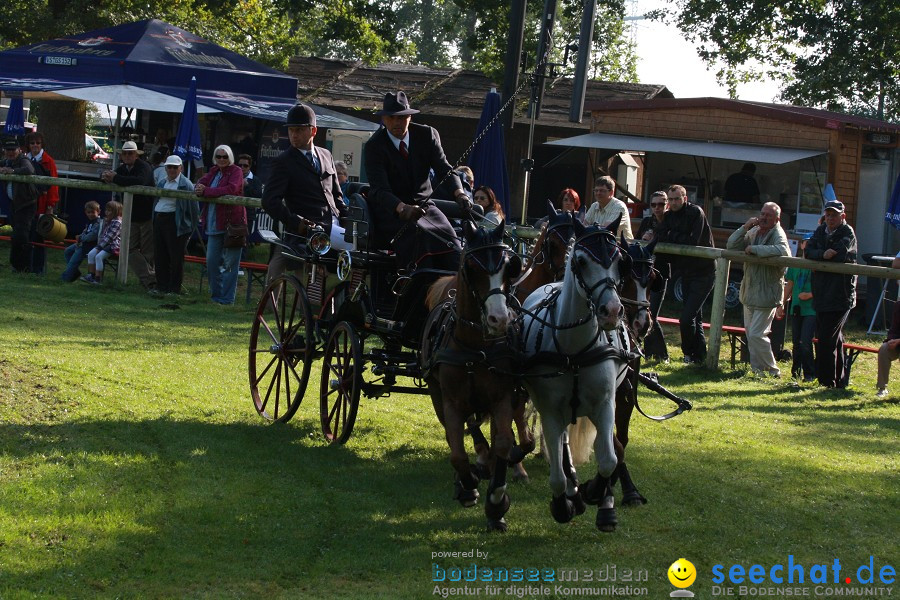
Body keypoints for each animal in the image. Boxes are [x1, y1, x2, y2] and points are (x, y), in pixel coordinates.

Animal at [426, 219, 524, 528]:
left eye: (509, 267)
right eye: (472, 267)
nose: (499, 319)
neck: (474, 347)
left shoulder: (502, 397)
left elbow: (503, 443)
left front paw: (497, 501)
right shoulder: (450, 401)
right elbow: (457, 452)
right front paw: (468, 486)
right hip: (436, 394)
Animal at [516, 219, 636, 528]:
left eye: (620, 261)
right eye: (581, 261)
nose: (612, 311)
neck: (575, 352)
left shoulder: (605, 404)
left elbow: (609, 459)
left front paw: (597, 496)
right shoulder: (549, 410)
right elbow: (557, 476)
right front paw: (564, 504)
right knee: (562, 444)